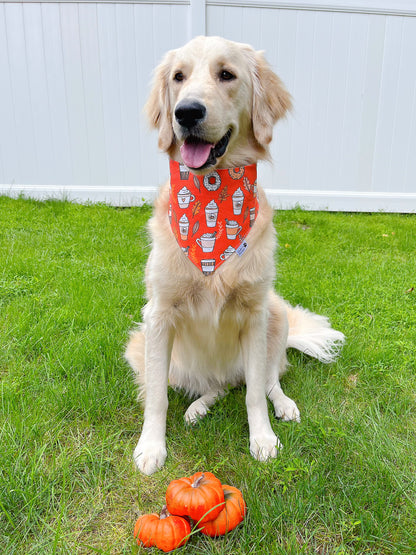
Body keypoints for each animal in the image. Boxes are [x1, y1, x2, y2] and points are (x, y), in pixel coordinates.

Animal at [126, 34, 344, 476]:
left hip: (276, 314)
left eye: (226, 74)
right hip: (144, 348)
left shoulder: (255, 313)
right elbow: (156, 396)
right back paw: (198, 407)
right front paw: (151, 446)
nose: (186, 112)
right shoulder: (157, 315)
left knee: (265, 380)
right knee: (219, 386)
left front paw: (262, 438)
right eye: (178, 77)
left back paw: (284, 405)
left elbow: (256, 393)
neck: (213, 190)